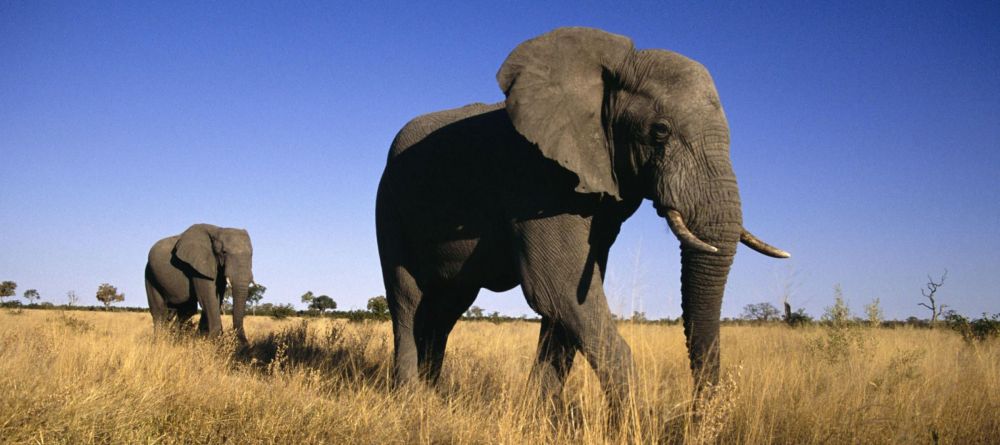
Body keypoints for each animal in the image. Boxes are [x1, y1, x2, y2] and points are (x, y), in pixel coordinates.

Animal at [376, 26, 788, 410]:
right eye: (660, 131)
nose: (695, 413)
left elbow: (568, 301)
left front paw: (539, 417)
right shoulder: (536, 176)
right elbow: (556, 290)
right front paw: (636, 423)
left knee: (448, 305)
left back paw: (433, 395)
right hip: (389, 207)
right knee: (408, 300)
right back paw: (410, 399)